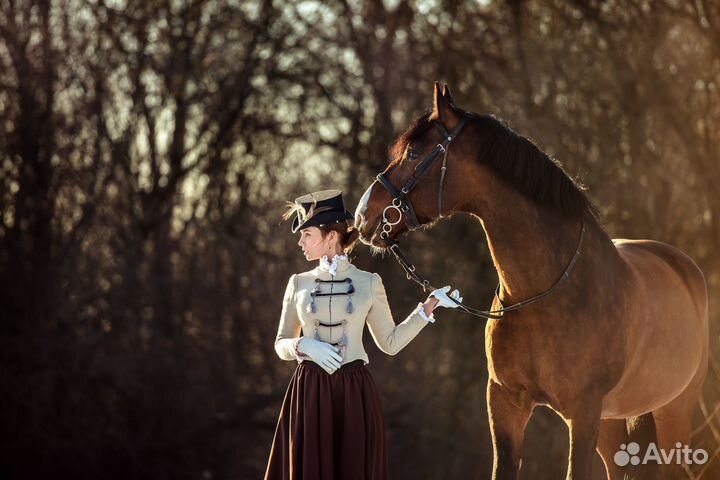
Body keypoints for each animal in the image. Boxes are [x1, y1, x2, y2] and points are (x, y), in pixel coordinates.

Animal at [353, 82, 708, 480]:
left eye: (414, 152)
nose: (363, 215)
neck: (543, 294)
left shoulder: (583, 413)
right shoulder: (505, 403)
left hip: (672, 410)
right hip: (614, 421)